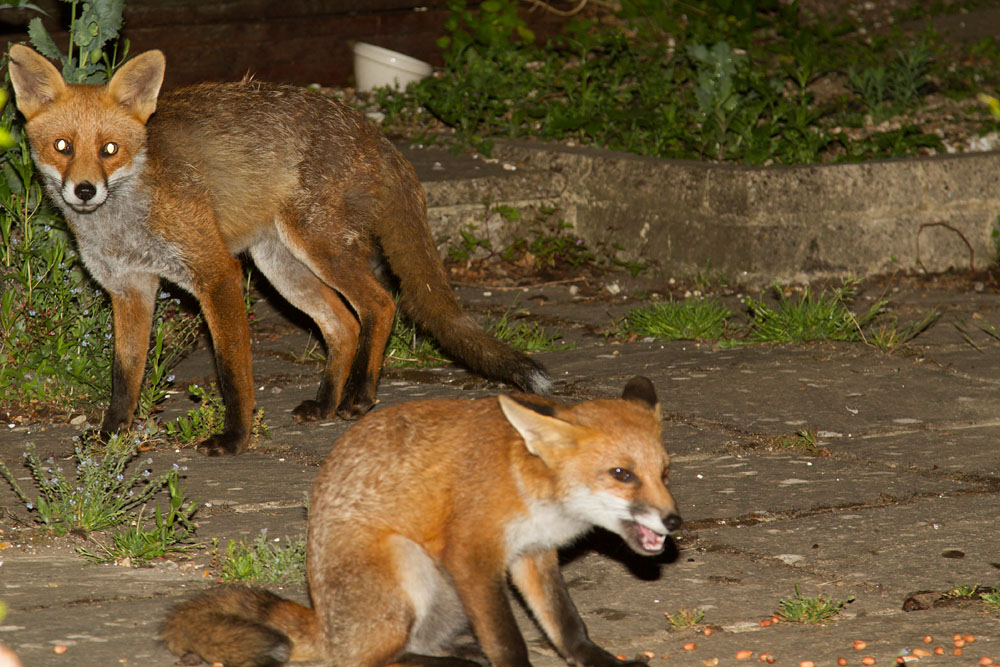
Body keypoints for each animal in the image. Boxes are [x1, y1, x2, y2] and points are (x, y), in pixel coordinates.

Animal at [6, 45, 549, 455]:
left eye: (110, 150)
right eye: (62, 146)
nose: (84, 191)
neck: (124, 222)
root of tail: (371, 128)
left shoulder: (216, 272)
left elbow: (232, 371)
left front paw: (235, 437)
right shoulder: (130, 290)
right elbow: (124, 377)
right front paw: (111, 436)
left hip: (318, 247)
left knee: (380, 304)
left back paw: (359, 397)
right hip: (281, 266)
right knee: (342, 323)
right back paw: (326, 404)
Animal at [161, 375, 682, 667]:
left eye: (664, 472)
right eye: (622, 474)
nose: (674, 520)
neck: (530, 487)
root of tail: (326, 622)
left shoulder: (531, 555)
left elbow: (567, 625)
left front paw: (603, 662)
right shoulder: (473, 556)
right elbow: (509, 642)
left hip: (446, 592)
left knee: (418, 643)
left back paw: (458, 655)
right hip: (409, 563)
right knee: (366, 661)